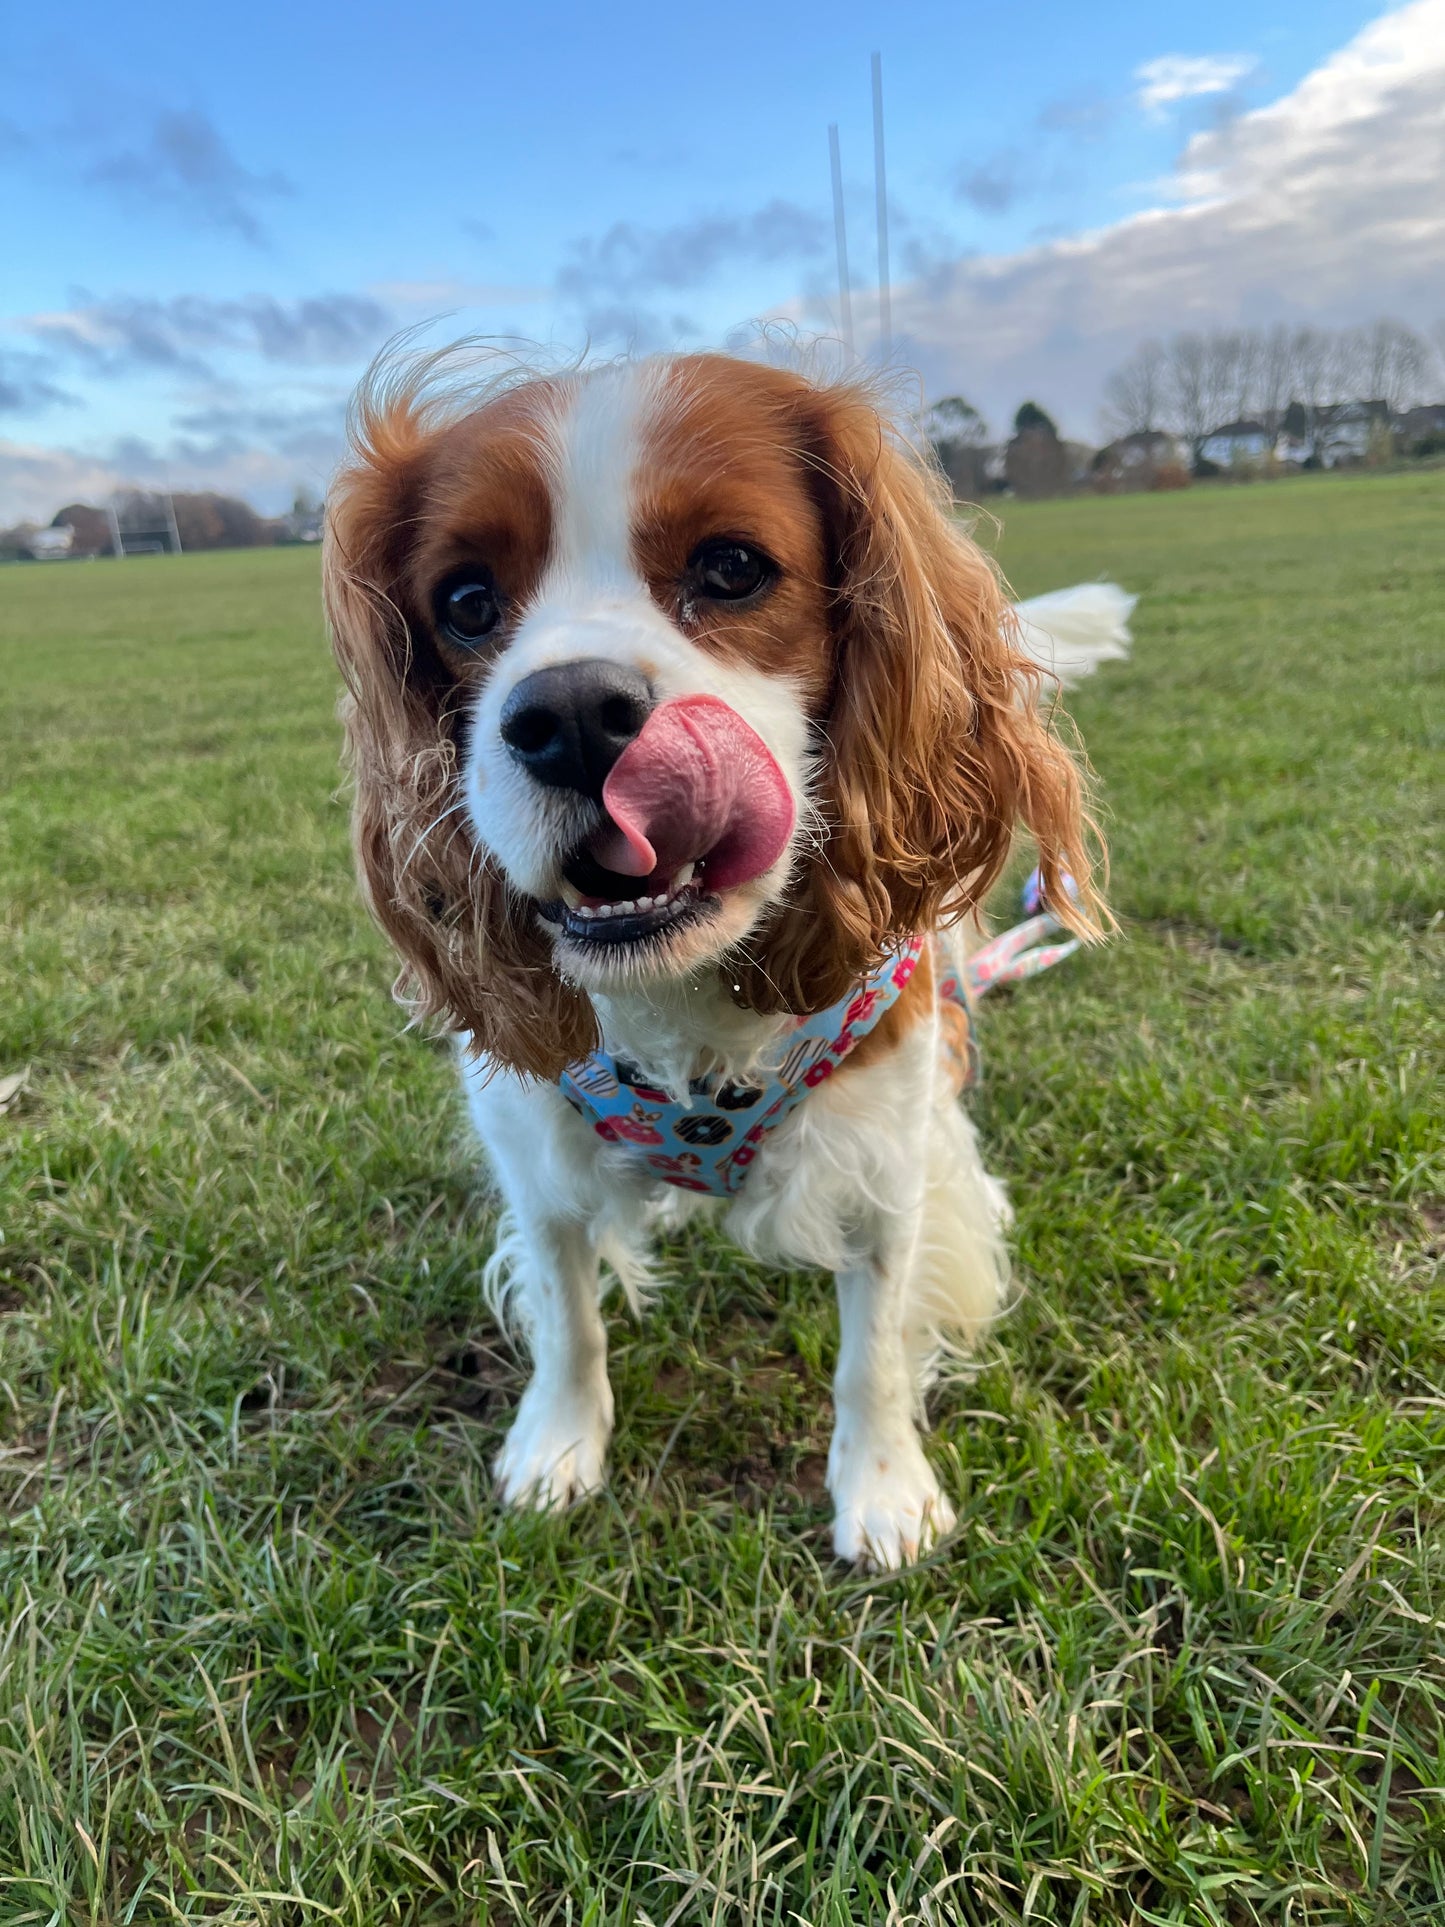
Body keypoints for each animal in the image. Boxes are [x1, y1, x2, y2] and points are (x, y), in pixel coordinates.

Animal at [325, 350, 1132, 1564]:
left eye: (732, 568)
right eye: (465, 603)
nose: (572, 712)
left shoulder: (883, 1162)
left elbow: (871, 1353)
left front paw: (882, 1491)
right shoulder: (534, 1149)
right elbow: (567, 1318)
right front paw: (560, 1443)